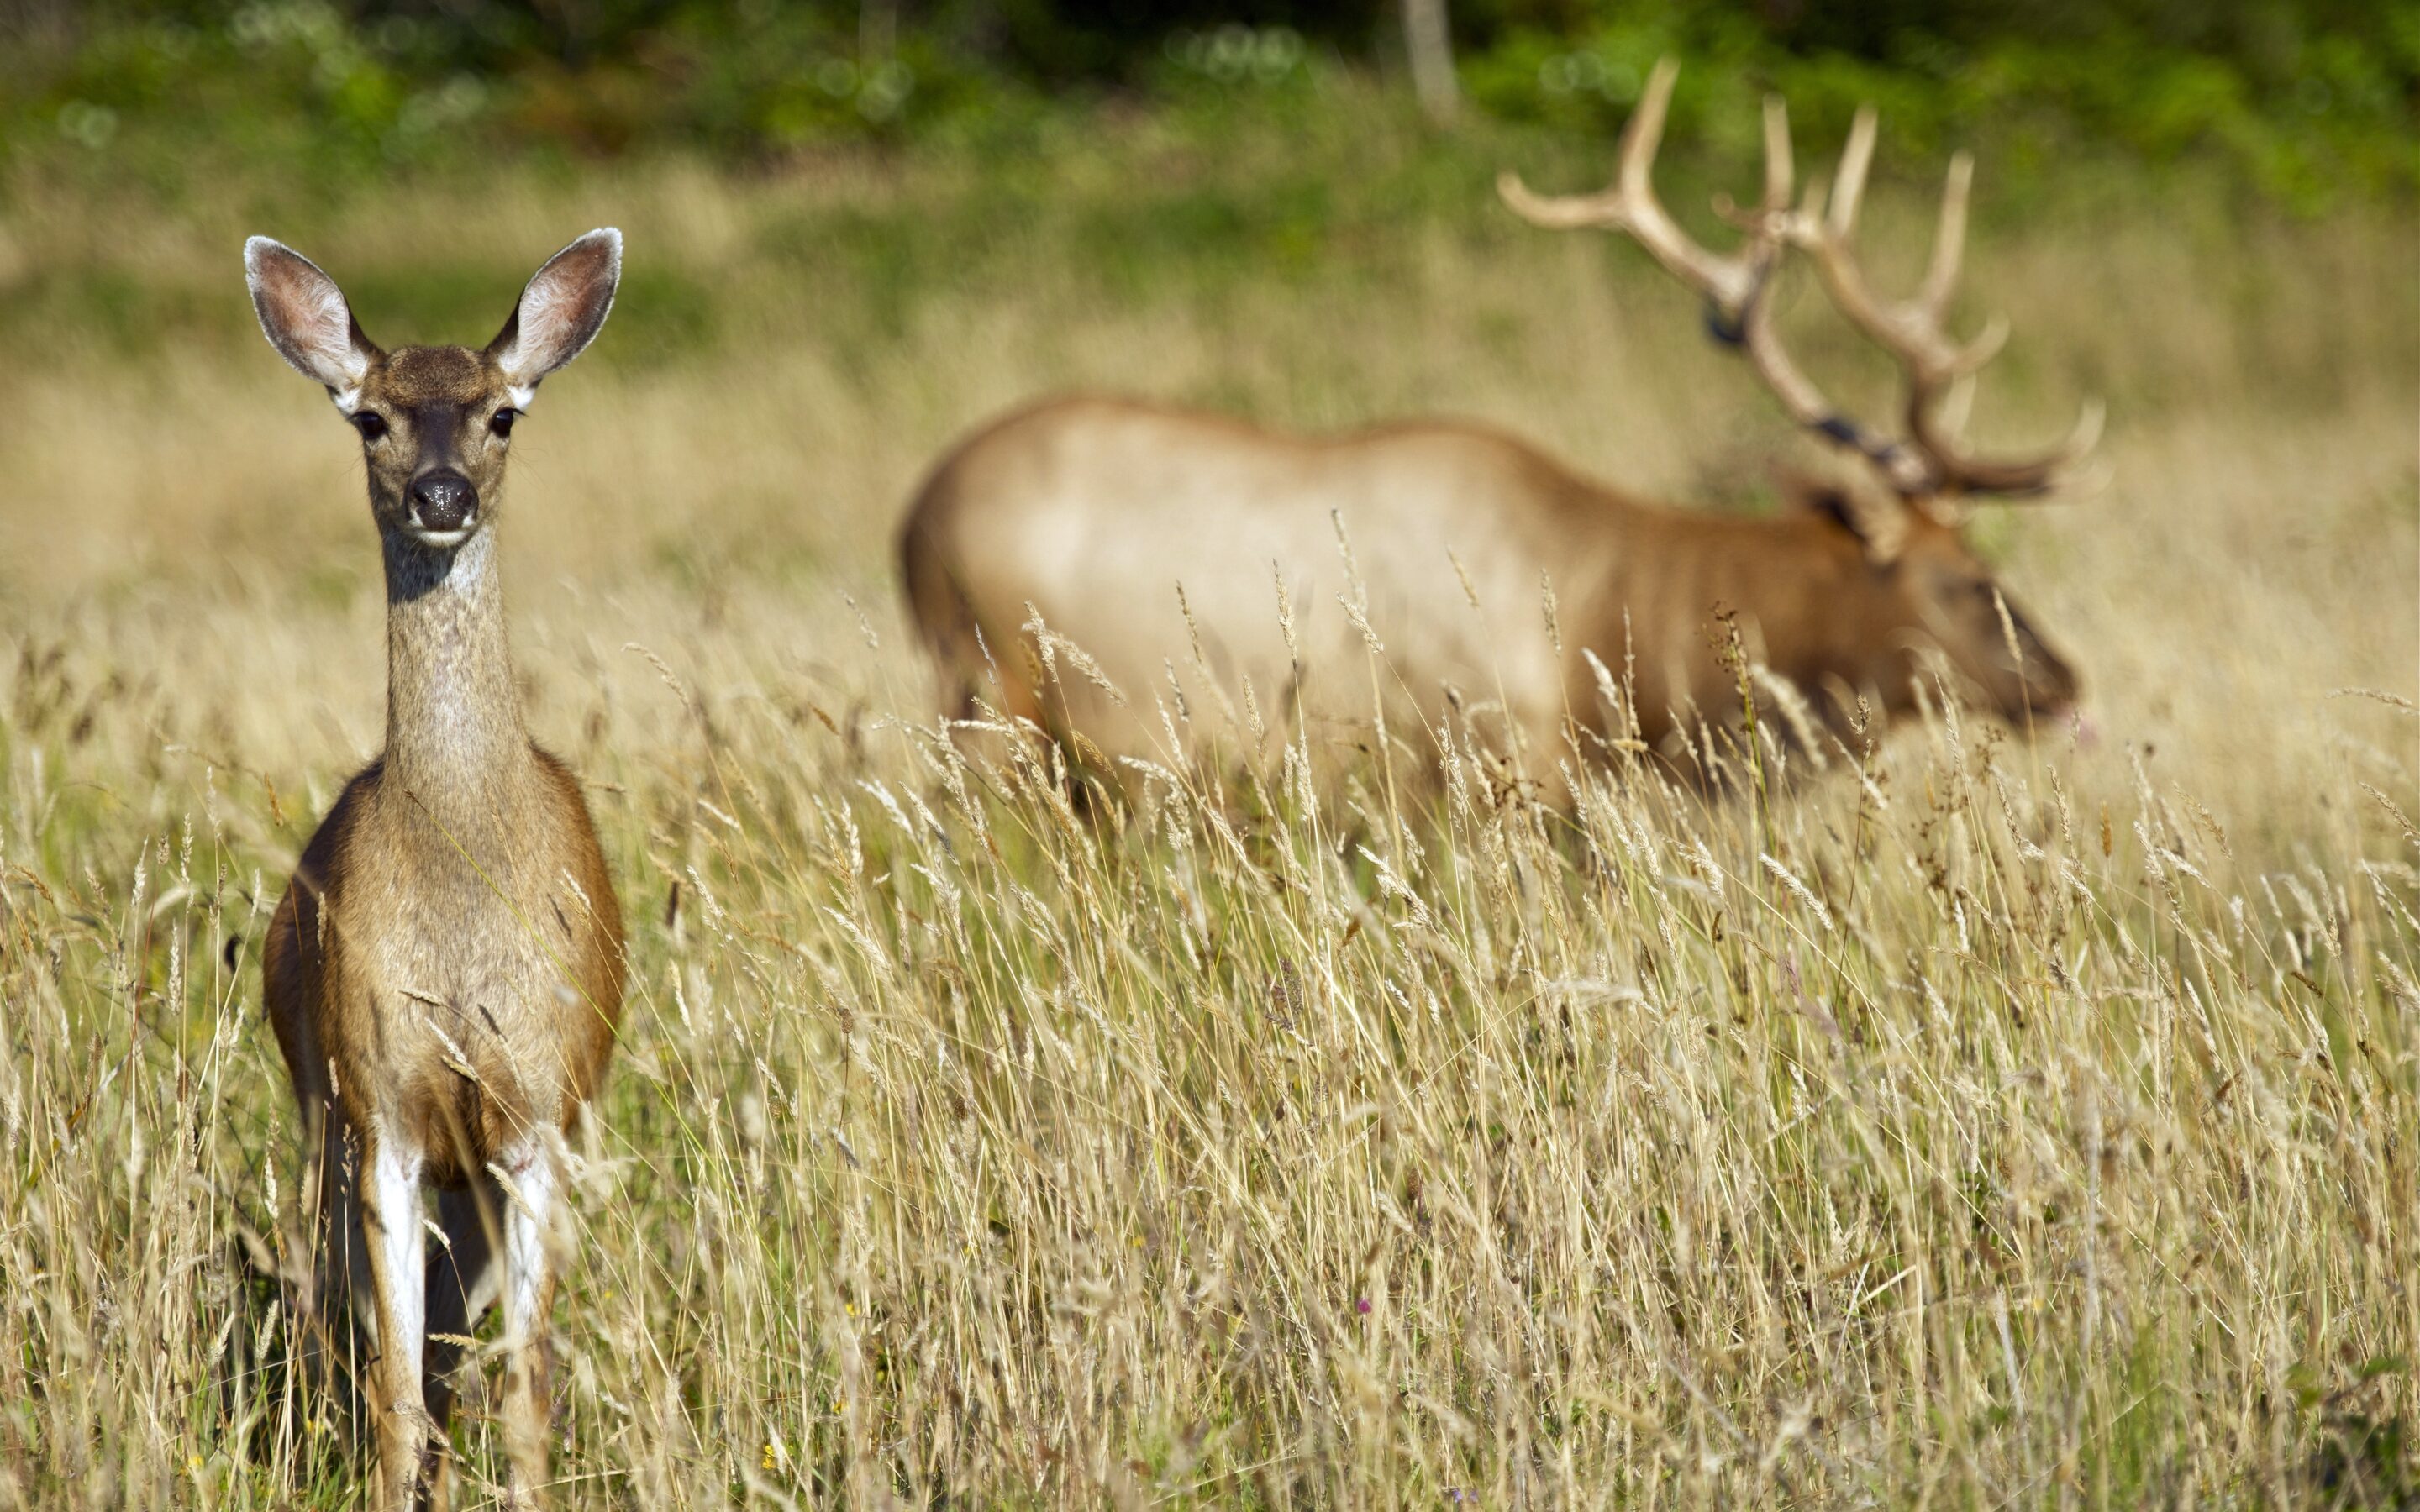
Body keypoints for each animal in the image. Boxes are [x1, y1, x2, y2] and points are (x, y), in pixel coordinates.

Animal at [242, 229, 624, 1499]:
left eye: (505, 413)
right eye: (370, 417)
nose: (441, 495)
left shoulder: (538, 1109)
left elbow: (528, 1385)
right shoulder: (383, 1108)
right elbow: (398, 1390)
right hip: (322, 1121)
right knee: (362, 1329)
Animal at [900, 60, 2110, 788]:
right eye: (1967, 579)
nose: (2063, 684)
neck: (1616, 637)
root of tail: (911, 523)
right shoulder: (1487, 767)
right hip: (999, 704)